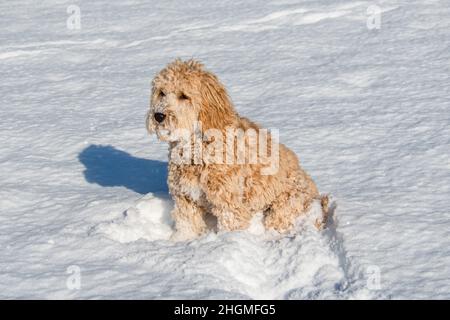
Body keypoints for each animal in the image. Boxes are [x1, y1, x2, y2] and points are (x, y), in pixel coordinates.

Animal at [148, 59, 326, 240]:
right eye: (162, 93)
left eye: (184, 95)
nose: (158, 115)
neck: (197, 146)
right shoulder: (185, 197)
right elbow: (187, 225)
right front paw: (181, 241)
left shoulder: (228, 202)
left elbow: (230, 225)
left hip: (284, 206)